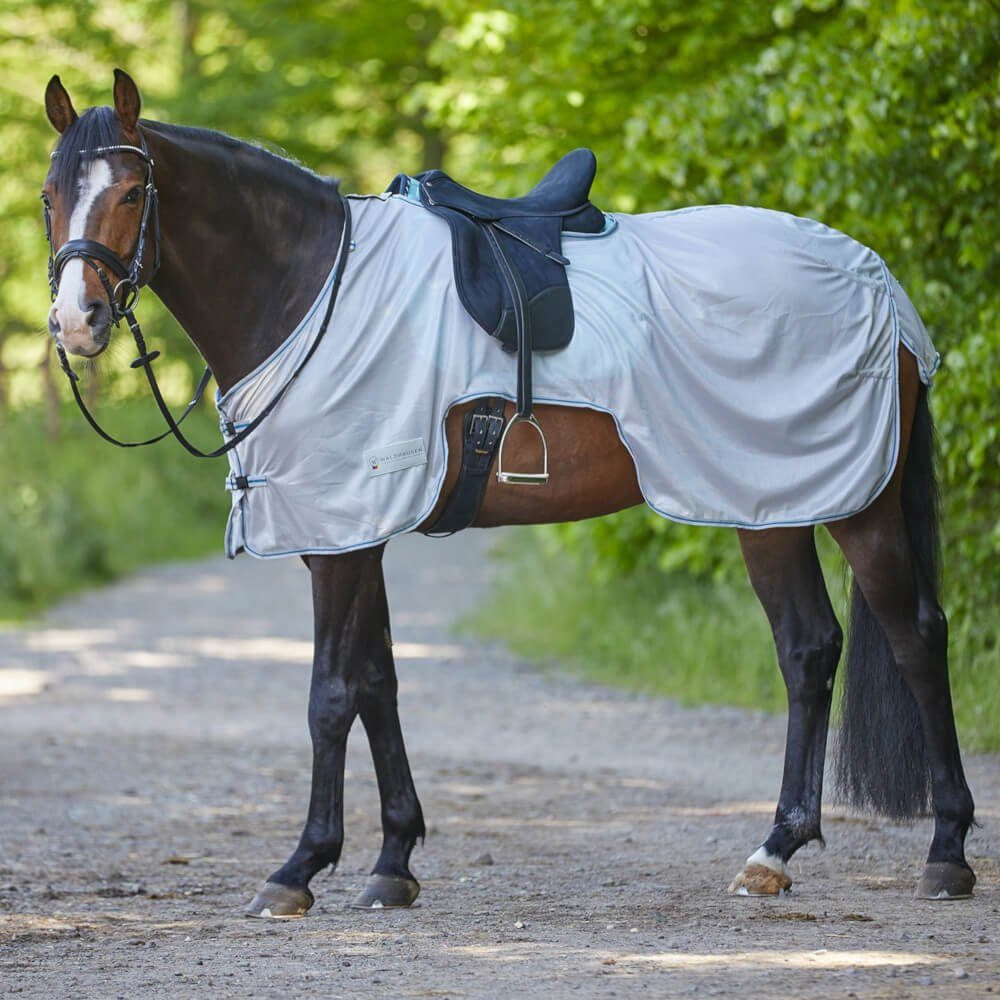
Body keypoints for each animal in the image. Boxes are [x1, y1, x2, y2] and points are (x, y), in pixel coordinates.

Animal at [41, 68, 976, 916]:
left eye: (132, 192)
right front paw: (393, 862)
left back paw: (946, 853)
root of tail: (880, 284)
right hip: (768, 503)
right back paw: (774, 851)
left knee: (916, 635)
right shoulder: (353, 533)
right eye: (51, 195)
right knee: (809, 650)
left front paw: (301, 867)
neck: (310, 290)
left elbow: (330, 697)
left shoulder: (345, 534)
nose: (77, 322)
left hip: (857, 503)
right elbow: (378, 684)